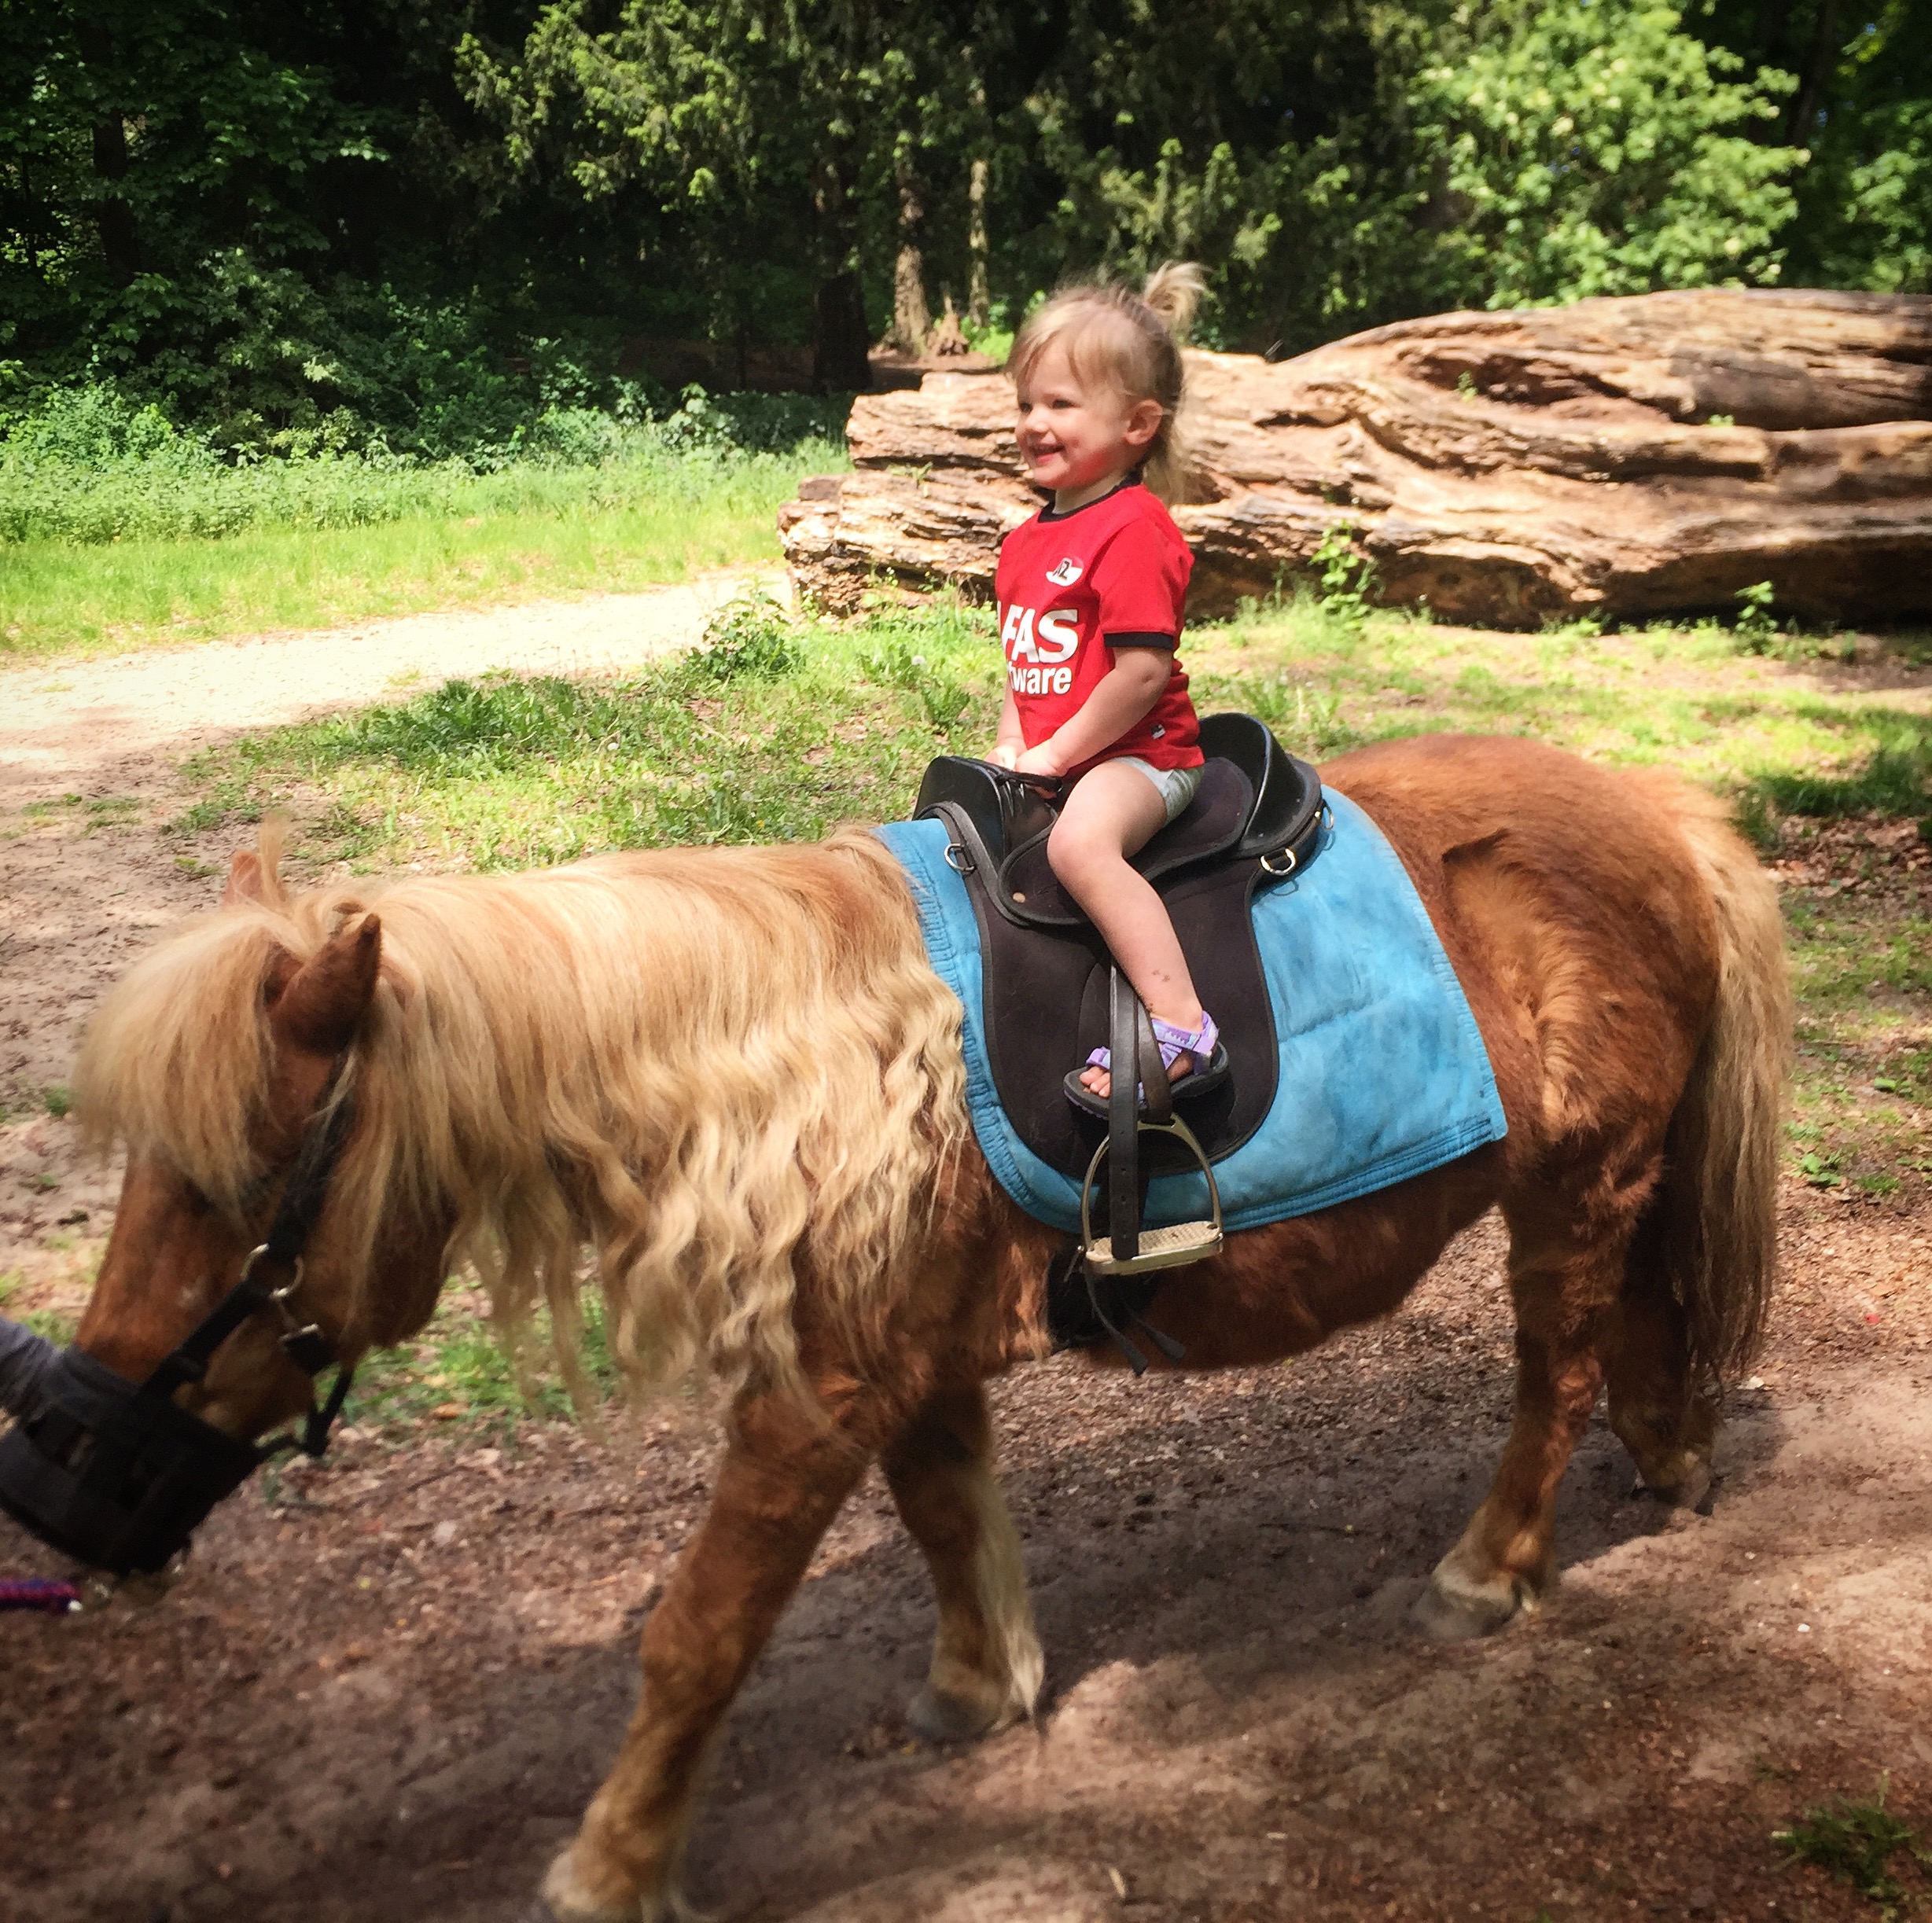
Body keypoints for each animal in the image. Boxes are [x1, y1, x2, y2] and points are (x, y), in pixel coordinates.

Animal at [57, 733, 1787, 1922]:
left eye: (231, 1184)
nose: (67, 1453)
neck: (796, 1064)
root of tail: (1652, 806)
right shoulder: (908, 1354)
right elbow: (950, 1513)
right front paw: (977, 1687)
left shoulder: (813, 1391)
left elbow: (698, 1632)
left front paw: (609, 1864)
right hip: (1607, 1184)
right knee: (1641, 1326)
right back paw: (1671, 1460)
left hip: (1569, 1191)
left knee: (1554, 1373)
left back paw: (1486, 1571)